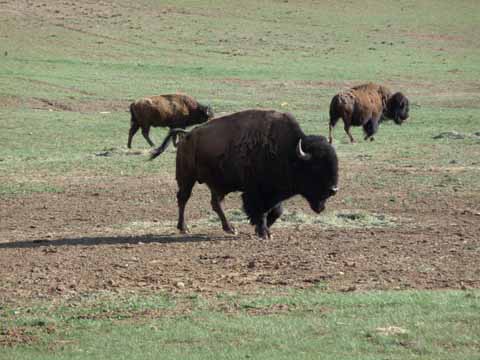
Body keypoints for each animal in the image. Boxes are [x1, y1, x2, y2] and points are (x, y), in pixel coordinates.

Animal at [150, 109, 338, 239]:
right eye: (316, 167)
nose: (333, 189)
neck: (289, 152)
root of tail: (187, 135)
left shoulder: (273, 193)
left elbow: (276, 211)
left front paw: (261, 229)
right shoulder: (256, 192)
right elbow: (261, 211)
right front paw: (264, 232)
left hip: (215, 184)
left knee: (216, 203)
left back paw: (230, 228)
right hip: (186, 178)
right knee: (183, 199)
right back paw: (184, 228)